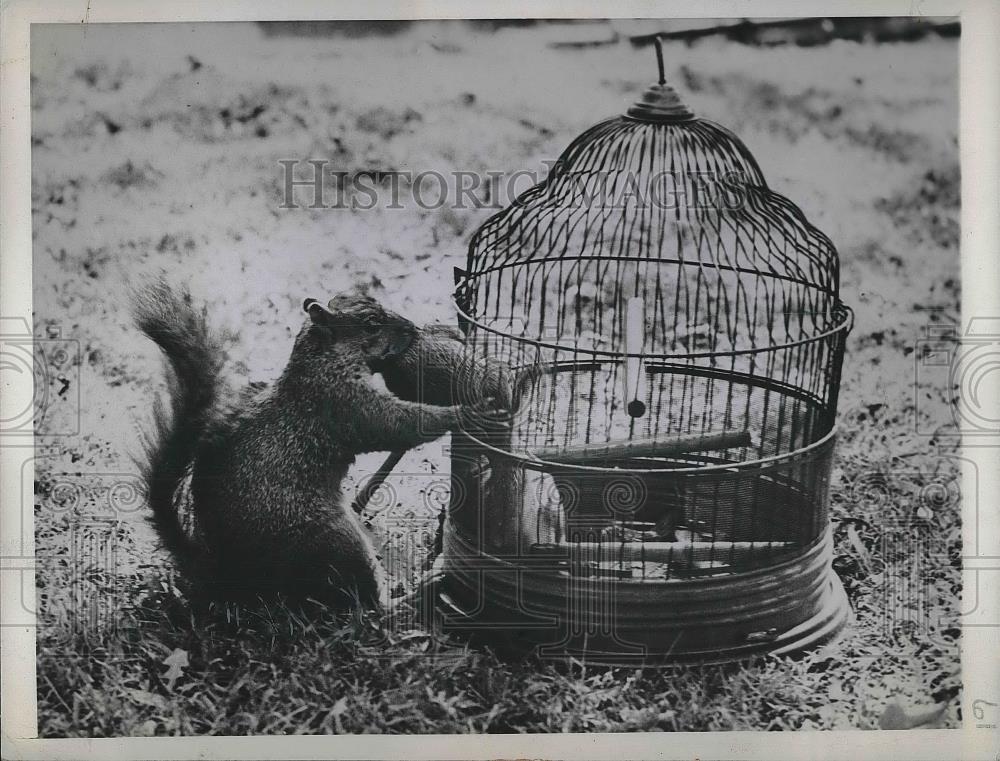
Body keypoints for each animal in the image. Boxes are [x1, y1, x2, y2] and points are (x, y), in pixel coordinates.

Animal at [132, 280, 508, 604]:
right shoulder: (341, 402)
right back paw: (413, 595)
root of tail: (228, 576)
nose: (413, 329)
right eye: (372, 323)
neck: (319, 359)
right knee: (368, 610)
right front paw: (465, 413)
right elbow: (396, 424)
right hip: (335, 541)